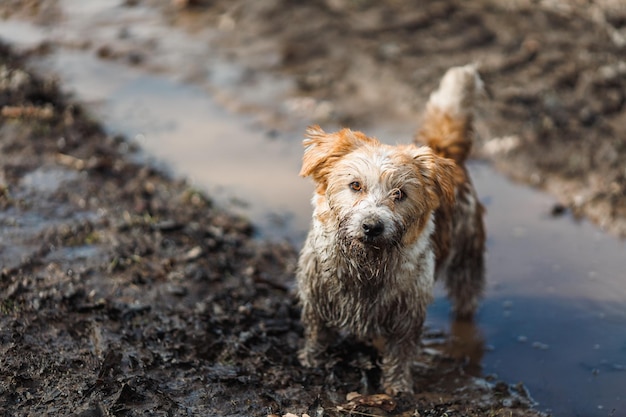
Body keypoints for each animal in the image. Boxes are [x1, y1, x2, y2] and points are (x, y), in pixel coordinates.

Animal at [294, 64, 486, 394]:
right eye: (355, 185)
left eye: (400, 194)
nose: (372, 226)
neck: (365, 266)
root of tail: (442, 151)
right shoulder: (316, 298)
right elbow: (317, 334)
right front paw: (311, 360)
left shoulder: (407, 315)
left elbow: (401, 352)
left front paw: (397, 388)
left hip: (467, 261)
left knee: (466, 298)